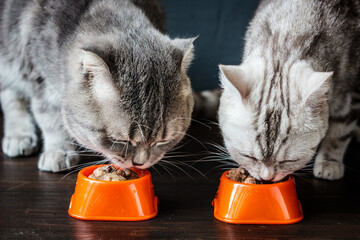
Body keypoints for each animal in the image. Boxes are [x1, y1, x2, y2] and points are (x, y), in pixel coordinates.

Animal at [0, 0, 195, 172]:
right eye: (120, 140)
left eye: (163, 140)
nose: (140, 163)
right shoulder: (40, 79)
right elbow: (51, 119)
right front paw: (59, 151)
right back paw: (19, 134)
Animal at [218, 0, 358, 180]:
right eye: (248, 156)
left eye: (289, 161)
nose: (267, 178)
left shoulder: (350, 93)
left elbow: (339, 131)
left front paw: (329, 161)